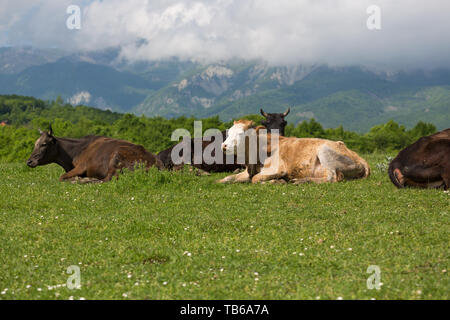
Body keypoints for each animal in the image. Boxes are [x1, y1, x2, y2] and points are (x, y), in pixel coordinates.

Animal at [26, 126, 163, 184]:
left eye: (43, 144)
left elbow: (61, 177)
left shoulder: (82, 167)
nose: (29, 161)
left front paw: (77, 179)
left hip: (116, 159)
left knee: (107, 180)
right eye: (35, 143)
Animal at [217, 119, 370, 185]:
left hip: (324, 151)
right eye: (228, 132)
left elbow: (256, 179)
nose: (223, 145)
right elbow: (225, 179)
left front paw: (277, 181)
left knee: (331, 177)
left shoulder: (278, 169)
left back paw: (300, 181)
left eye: (241, 134)